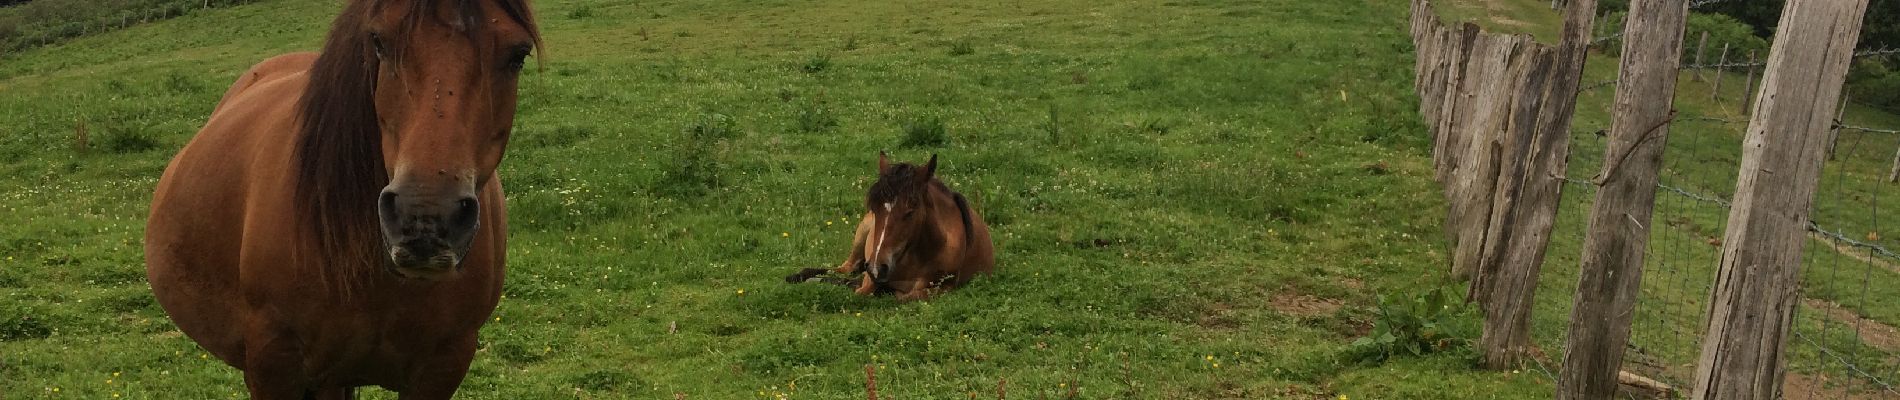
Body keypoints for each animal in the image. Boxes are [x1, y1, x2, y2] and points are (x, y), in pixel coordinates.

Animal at [786, 152, 995, 299]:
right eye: (875, 208)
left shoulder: (940, 288)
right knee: (844, 269)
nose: (878, 267)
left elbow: (903, 296)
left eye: (910, 212)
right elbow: (862, 288)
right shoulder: (870, 278)